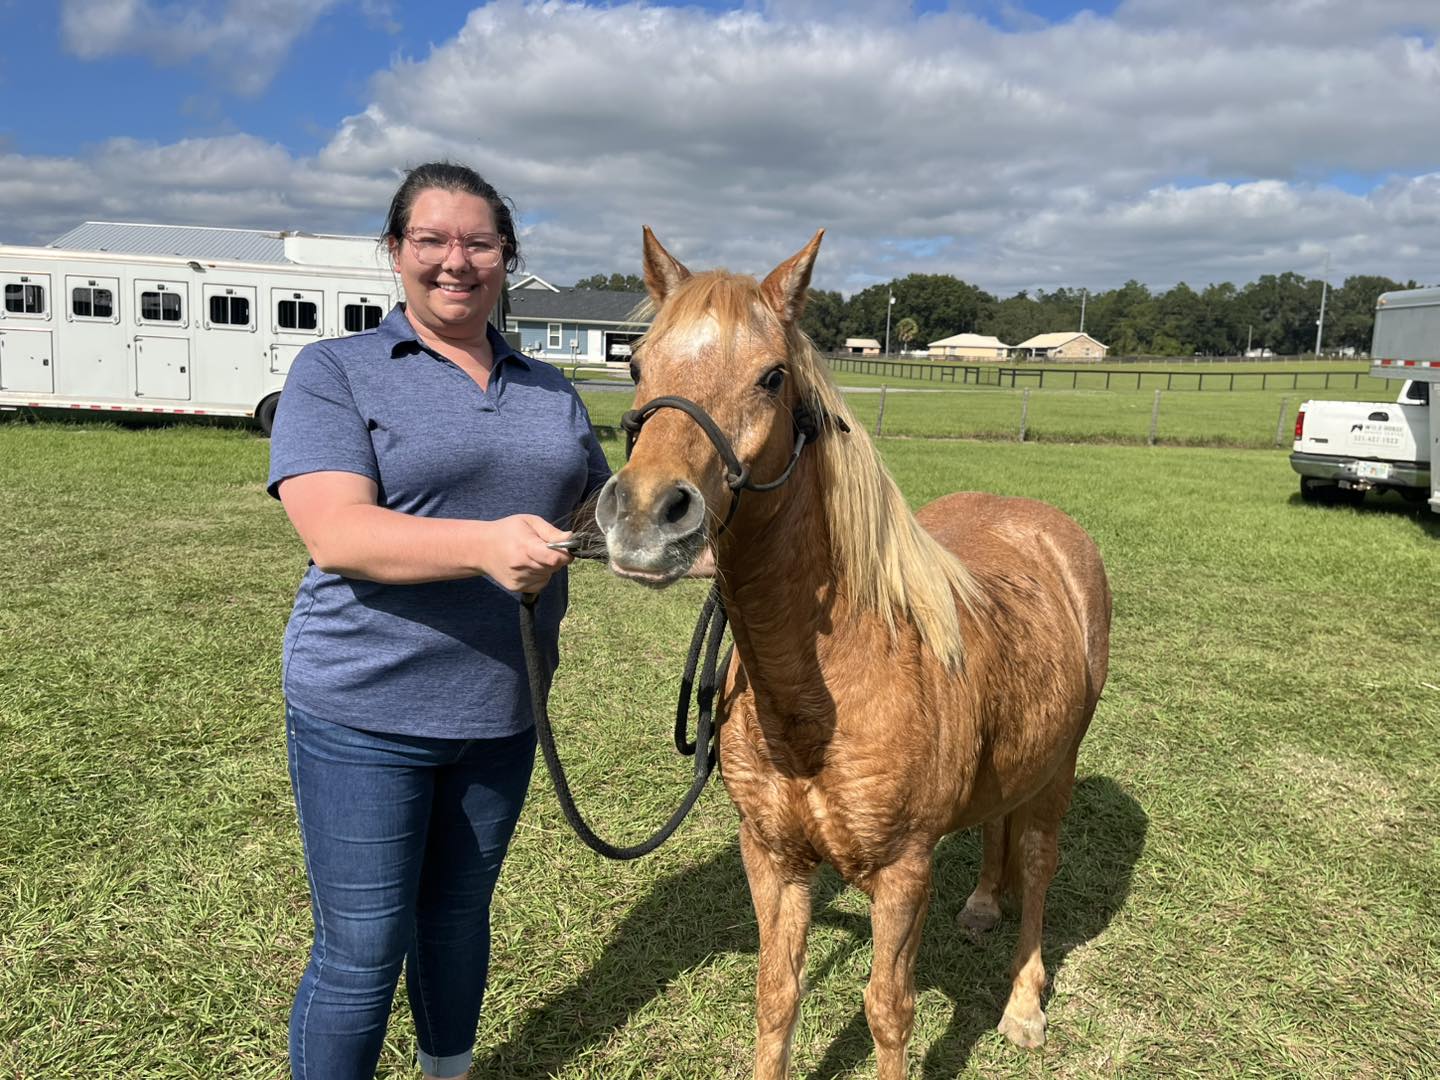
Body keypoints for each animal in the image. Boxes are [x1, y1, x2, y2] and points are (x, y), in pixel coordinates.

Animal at [594, 228, 1112, 1079]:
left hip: (1058, 766)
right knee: (999, 832)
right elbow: (776, 997)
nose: (642, 517)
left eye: (772, 376)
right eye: (637, 364)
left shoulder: (902, 877)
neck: (821, 692)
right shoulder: (772, 859)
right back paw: (982, 907)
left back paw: (1024, 1005)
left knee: (1039, 863)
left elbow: (886, 1013)